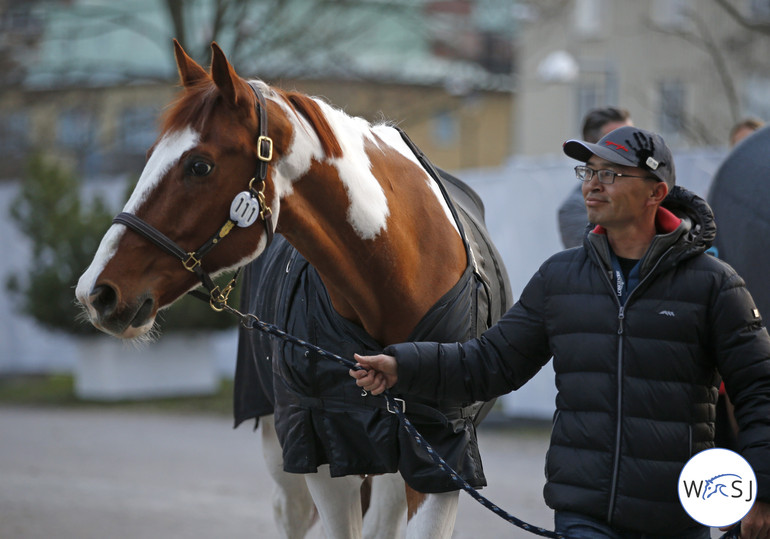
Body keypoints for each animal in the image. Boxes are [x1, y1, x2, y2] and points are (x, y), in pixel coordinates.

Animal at [76, 42, 510, 539]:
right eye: (150, 154)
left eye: (199, 165)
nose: (97, 291)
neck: (397, 278)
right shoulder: (321, 450)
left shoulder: (439, 457)